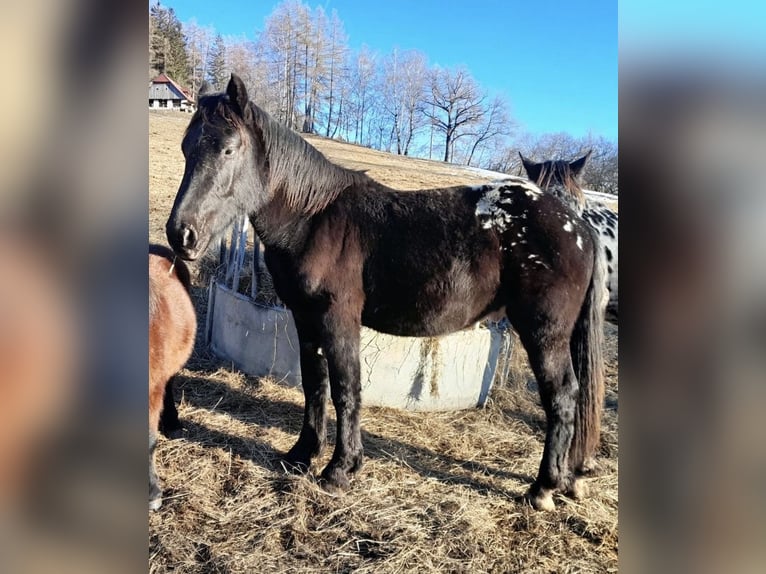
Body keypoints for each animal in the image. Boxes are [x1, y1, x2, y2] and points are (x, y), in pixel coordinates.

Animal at [166, 76, 608, 512]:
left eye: (229, 149)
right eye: (187, 148)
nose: (181, 234)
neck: (313, 218)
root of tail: (578, 227)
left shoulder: (338, 319)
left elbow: (346, 390)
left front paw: (339, 470)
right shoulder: (304, 318)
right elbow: (314, 385)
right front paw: (301, 455)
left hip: (544, 334)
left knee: (562, 397)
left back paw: (542, 489)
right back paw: (565, 480)